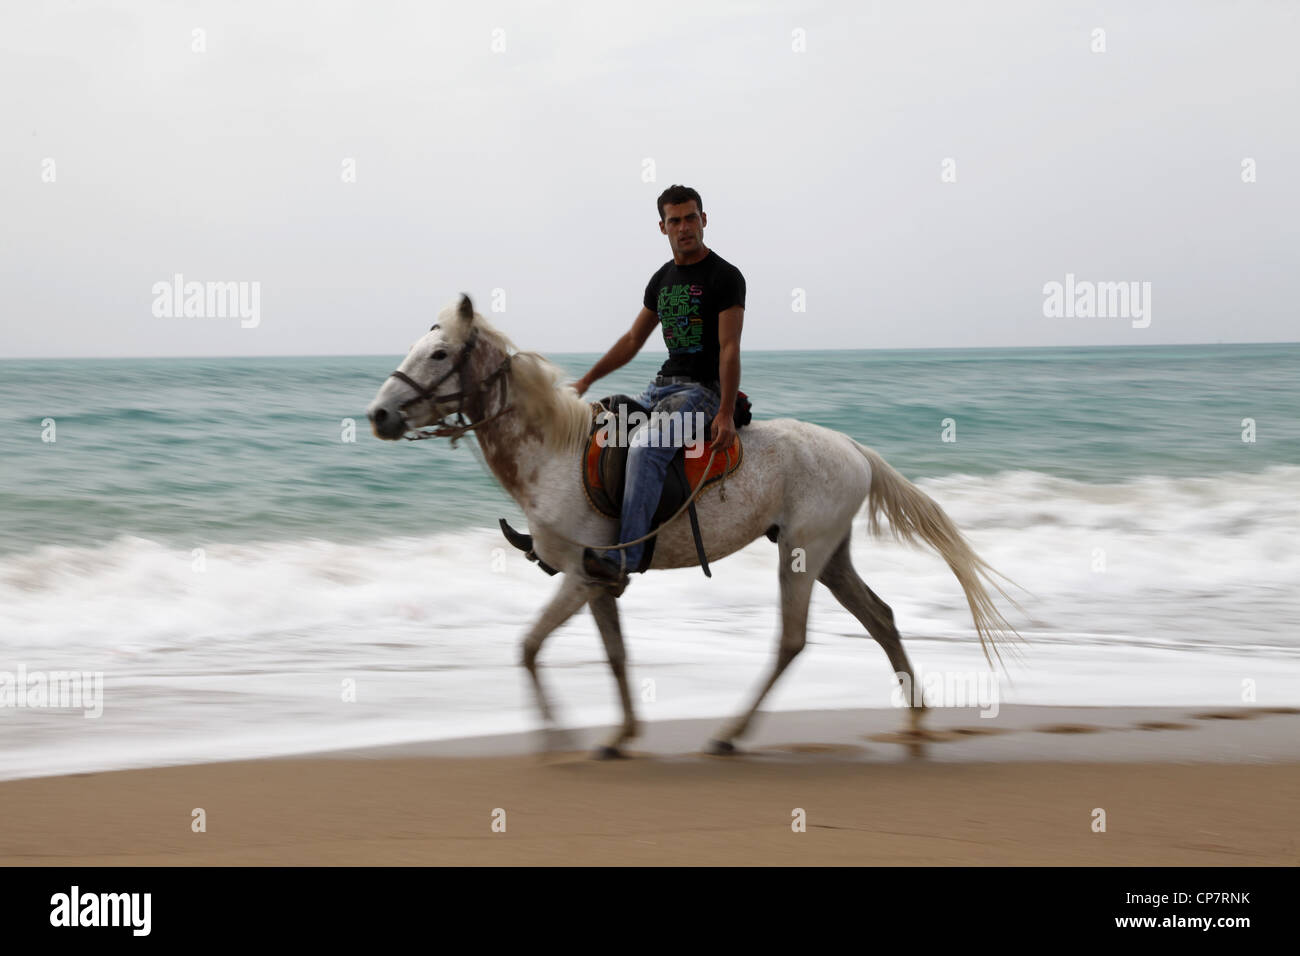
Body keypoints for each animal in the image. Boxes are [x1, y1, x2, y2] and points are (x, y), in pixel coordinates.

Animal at [364, 295, 1013, 759]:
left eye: (439, 355)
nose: (379, 415)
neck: (551, 454)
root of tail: (854, 449)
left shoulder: (580, 575)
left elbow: (528, 646)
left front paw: (558, 736)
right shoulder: (598, 584)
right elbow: (614, 655)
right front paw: (619, 735)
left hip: (801, 554)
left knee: (791, 640)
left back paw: (730, 732)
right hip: (830, 556)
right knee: (880, 618)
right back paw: (916, 716)